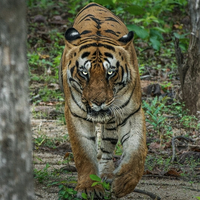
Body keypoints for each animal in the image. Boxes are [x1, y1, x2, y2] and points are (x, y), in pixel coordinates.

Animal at [59, 2, 147, 198]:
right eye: (84, 72)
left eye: (111, 72)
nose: (98, 102)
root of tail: (94, 4)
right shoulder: (76, 115)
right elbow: (84, 153)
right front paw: (89, 188)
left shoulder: (131, 112)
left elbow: (137, 150)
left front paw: (124, 183)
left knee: (107, 146)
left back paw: (106, 174)